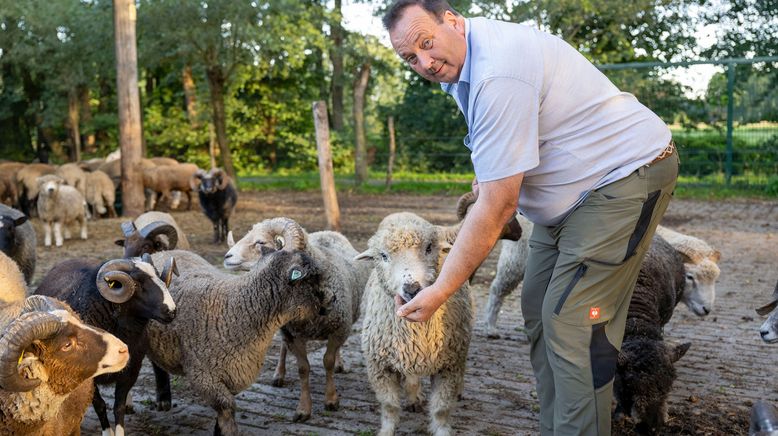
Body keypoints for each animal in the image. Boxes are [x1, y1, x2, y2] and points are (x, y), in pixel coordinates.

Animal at [354, 212, 472, 436]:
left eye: (429, 248)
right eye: (383, 256)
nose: (411, 288)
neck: (418, 331)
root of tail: (402, 214)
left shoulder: (450, 365)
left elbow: (441, 409)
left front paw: (442, 429)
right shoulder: (379, 366)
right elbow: (390, 406)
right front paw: (387, 430)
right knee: (411, 377)